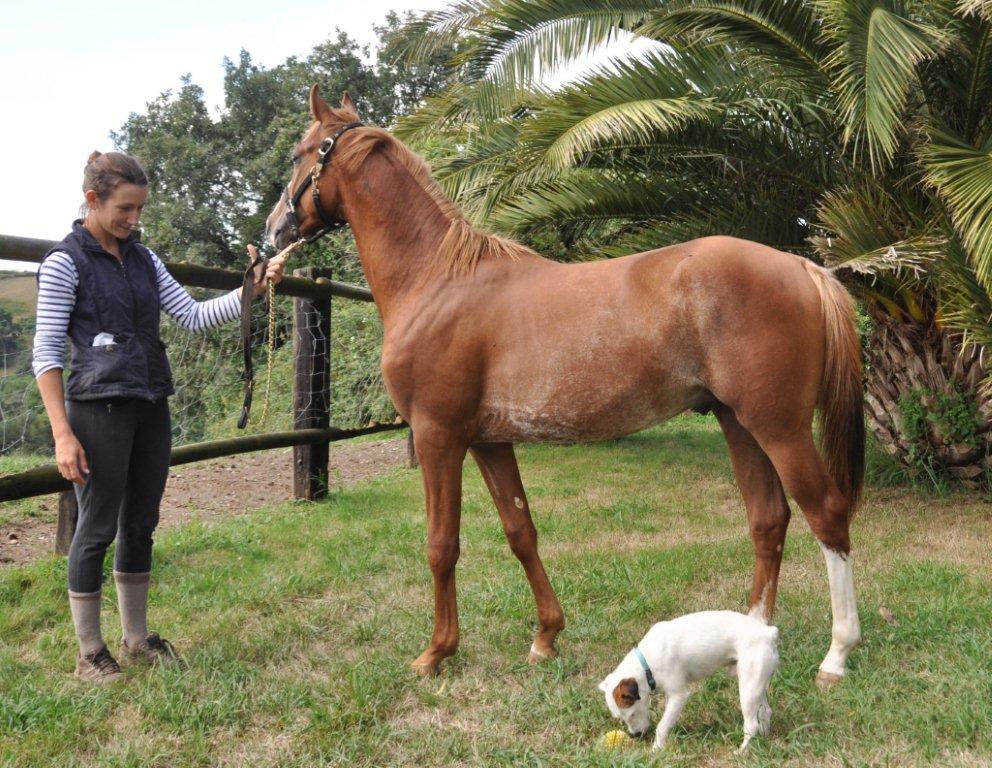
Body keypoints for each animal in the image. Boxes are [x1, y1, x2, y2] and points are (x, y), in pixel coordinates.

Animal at [268, 88, 864, 684]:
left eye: (299, 154)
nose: (274, 229)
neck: (438, 280)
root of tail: (800, 266)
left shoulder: (439, 437)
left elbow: (442, 545)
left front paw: (436, 652)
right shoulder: (488, 441)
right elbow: (520, 530)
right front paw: (545, 636)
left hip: (780, 428)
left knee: (826, 515)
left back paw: (836, 656)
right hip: (737, 422)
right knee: (769, 520)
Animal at [600, 612, 780, 752]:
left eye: (632, 714)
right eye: (620, 718)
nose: (635, 735)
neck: (646, 663)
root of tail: (768, 633)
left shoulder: (679, 695)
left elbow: (661, 726)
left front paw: (656, 748)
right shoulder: (670, 696)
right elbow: (668, 720)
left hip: (747, 690)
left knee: (751, 724)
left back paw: (742, 751)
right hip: (755, 684)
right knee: (766, 711)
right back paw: (764, 737)